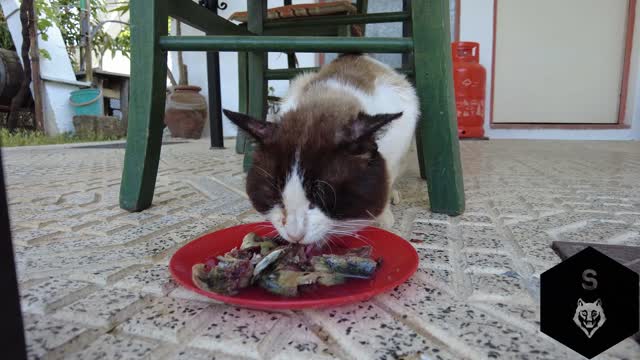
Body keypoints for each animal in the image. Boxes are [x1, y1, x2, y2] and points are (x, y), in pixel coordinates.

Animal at [225, 54, 420, 245]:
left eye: (322, 196)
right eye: (275, 196)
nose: (294, 235)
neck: (328, 100)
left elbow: (386, 180)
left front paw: (382, 217)